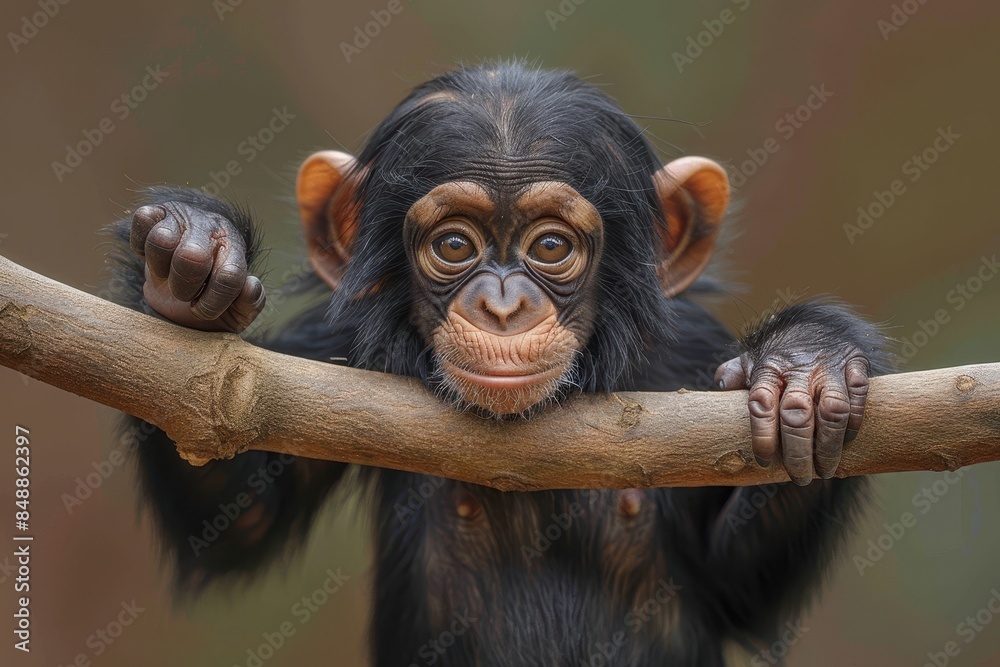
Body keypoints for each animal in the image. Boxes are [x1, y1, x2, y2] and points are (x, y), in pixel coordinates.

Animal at [104, 61, 890, 666]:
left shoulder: (690, 355)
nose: (503, 304)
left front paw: (805, 364)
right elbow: (233, 504)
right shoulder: (324, 348)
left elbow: (738, 581)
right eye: (455, 245)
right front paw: (188, 265)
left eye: (550, 247)